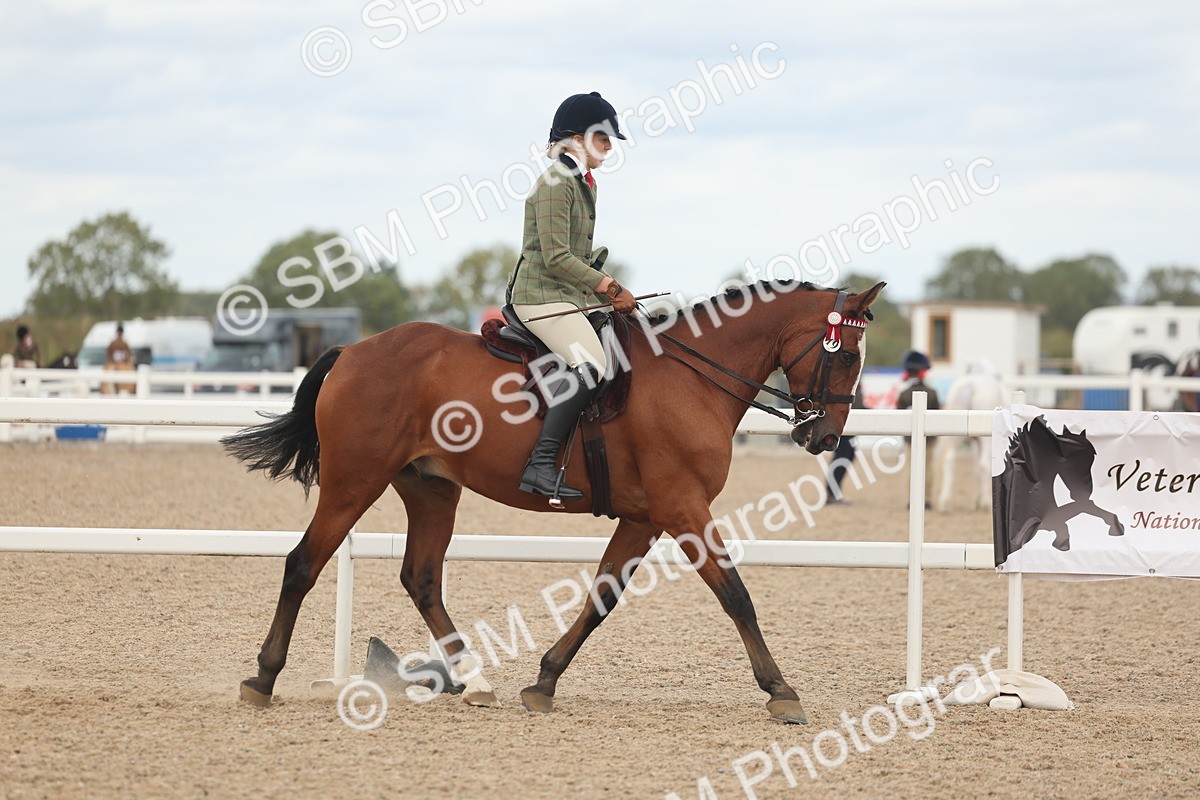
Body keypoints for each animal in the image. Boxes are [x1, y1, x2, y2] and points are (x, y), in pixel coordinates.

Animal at [222, 279, 886, 724]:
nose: (824, 438)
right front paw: (781, 692)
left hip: (431, 488)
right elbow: (737, 596)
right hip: (353, 482)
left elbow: (602, 598)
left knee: (422, 579)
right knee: (303, 564)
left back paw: (475, 681)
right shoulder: (683, 510)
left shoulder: (645, 517)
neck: (691, 380)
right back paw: (262, 678)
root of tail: (354, 351)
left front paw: (544, 680)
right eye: (848, 356)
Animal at [933, 359, 1007, 513]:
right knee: (984, 465)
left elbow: (975, 471)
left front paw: (976, 501)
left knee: (949, 461)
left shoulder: (974, 442)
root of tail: (970, 386)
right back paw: (986, 504)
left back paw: (945, 504)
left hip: (956, 437)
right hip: (985, 440)